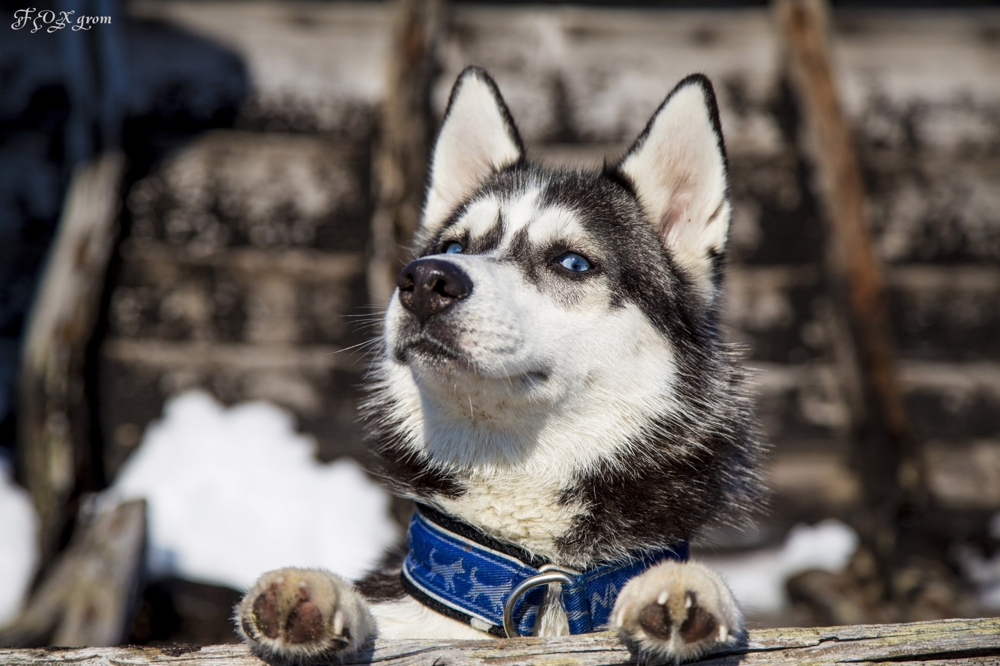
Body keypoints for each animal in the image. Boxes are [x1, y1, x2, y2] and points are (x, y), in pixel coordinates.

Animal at [236, 70, 764, 660]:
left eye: (572, 262)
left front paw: (680, 588)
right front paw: (317, 596)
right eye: (454, 246)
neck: (532, 582)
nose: (425, 280)